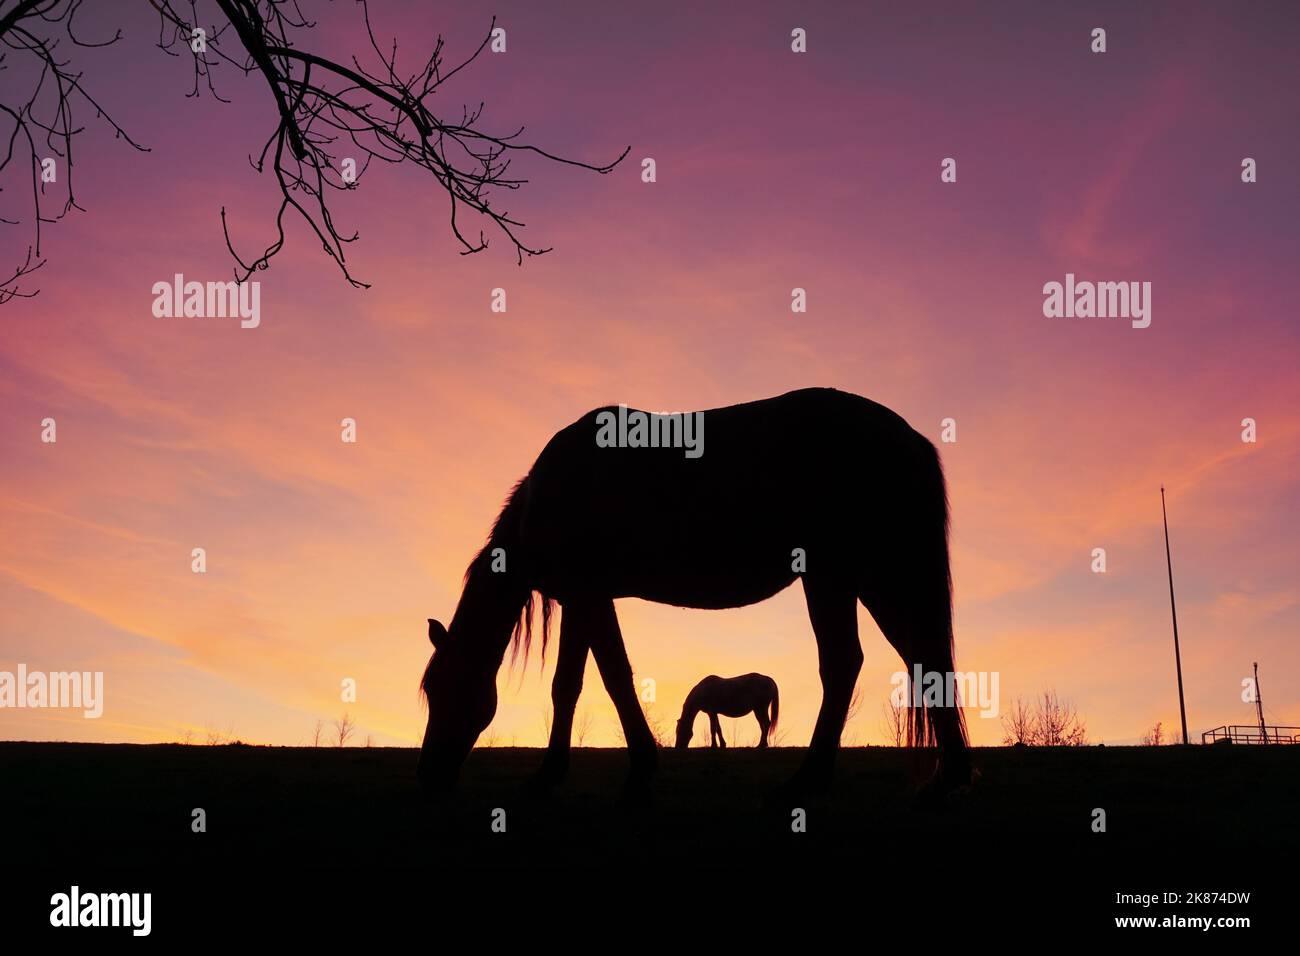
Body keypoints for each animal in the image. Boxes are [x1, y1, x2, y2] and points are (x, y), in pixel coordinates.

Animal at [421, 387, 972, 801]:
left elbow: (605, 679)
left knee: (852, 663)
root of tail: (909, 437)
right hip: (865, 578)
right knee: (917, 658)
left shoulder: (588, 594)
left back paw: (810, 781)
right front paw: (566, 773)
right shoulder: (585, 599)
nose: (430, 776)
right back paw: (945, 777)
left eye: (443, 687)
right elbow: (577, 683)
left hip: (845, 574)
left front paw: (626, 771)